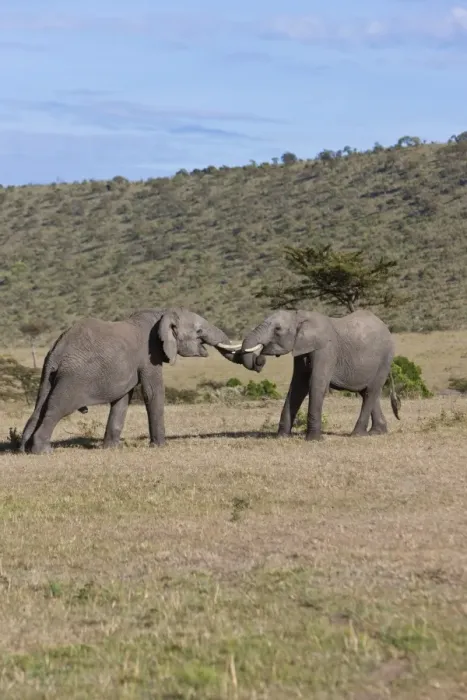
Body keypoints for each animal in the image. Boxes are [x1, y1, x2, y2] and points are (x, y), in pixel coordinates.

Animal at [20, 307, 240, 454]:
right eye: (199, 332)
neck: (161, 314)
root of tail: (56, 350)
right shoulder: (149, 355)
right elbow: (152, 393)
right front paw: (160, 446)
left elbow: (123, 398)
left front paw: (112, 448)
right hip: (74, 378)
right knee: (57, 408)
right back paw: (43, 451)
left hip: (48, 375)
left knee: (40, 406)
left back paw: (23, 448)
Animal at [223, 308, 400, 441]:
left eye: (278, 329)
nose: (259, 359)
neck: (299, 317)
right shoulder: (301, 349)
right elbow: (297, 386)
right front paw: (282, 437)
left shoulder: (325, 349)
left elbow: (316, 384)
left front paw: (314, 439)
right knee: (367, 392)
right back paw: (377, 432)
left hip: (385, 358)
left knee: (371, 391)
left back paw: (357, 434)